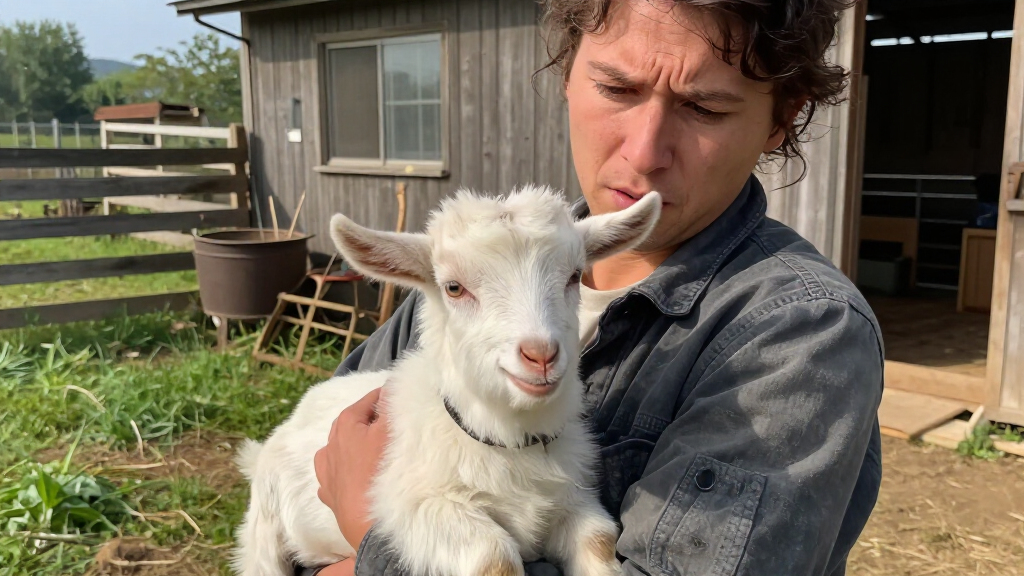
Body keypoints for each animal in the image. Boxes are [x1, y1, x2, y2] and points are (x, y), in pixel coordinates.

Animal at [234, 185, 661, 576]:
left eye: (574, 276)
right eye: (454, 287)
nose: (540, 354)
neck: (508, 441)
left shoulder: (574, 500)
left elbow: (599, 541)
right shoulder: (414, 509)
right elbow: (493, 558)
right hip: (263, 534)